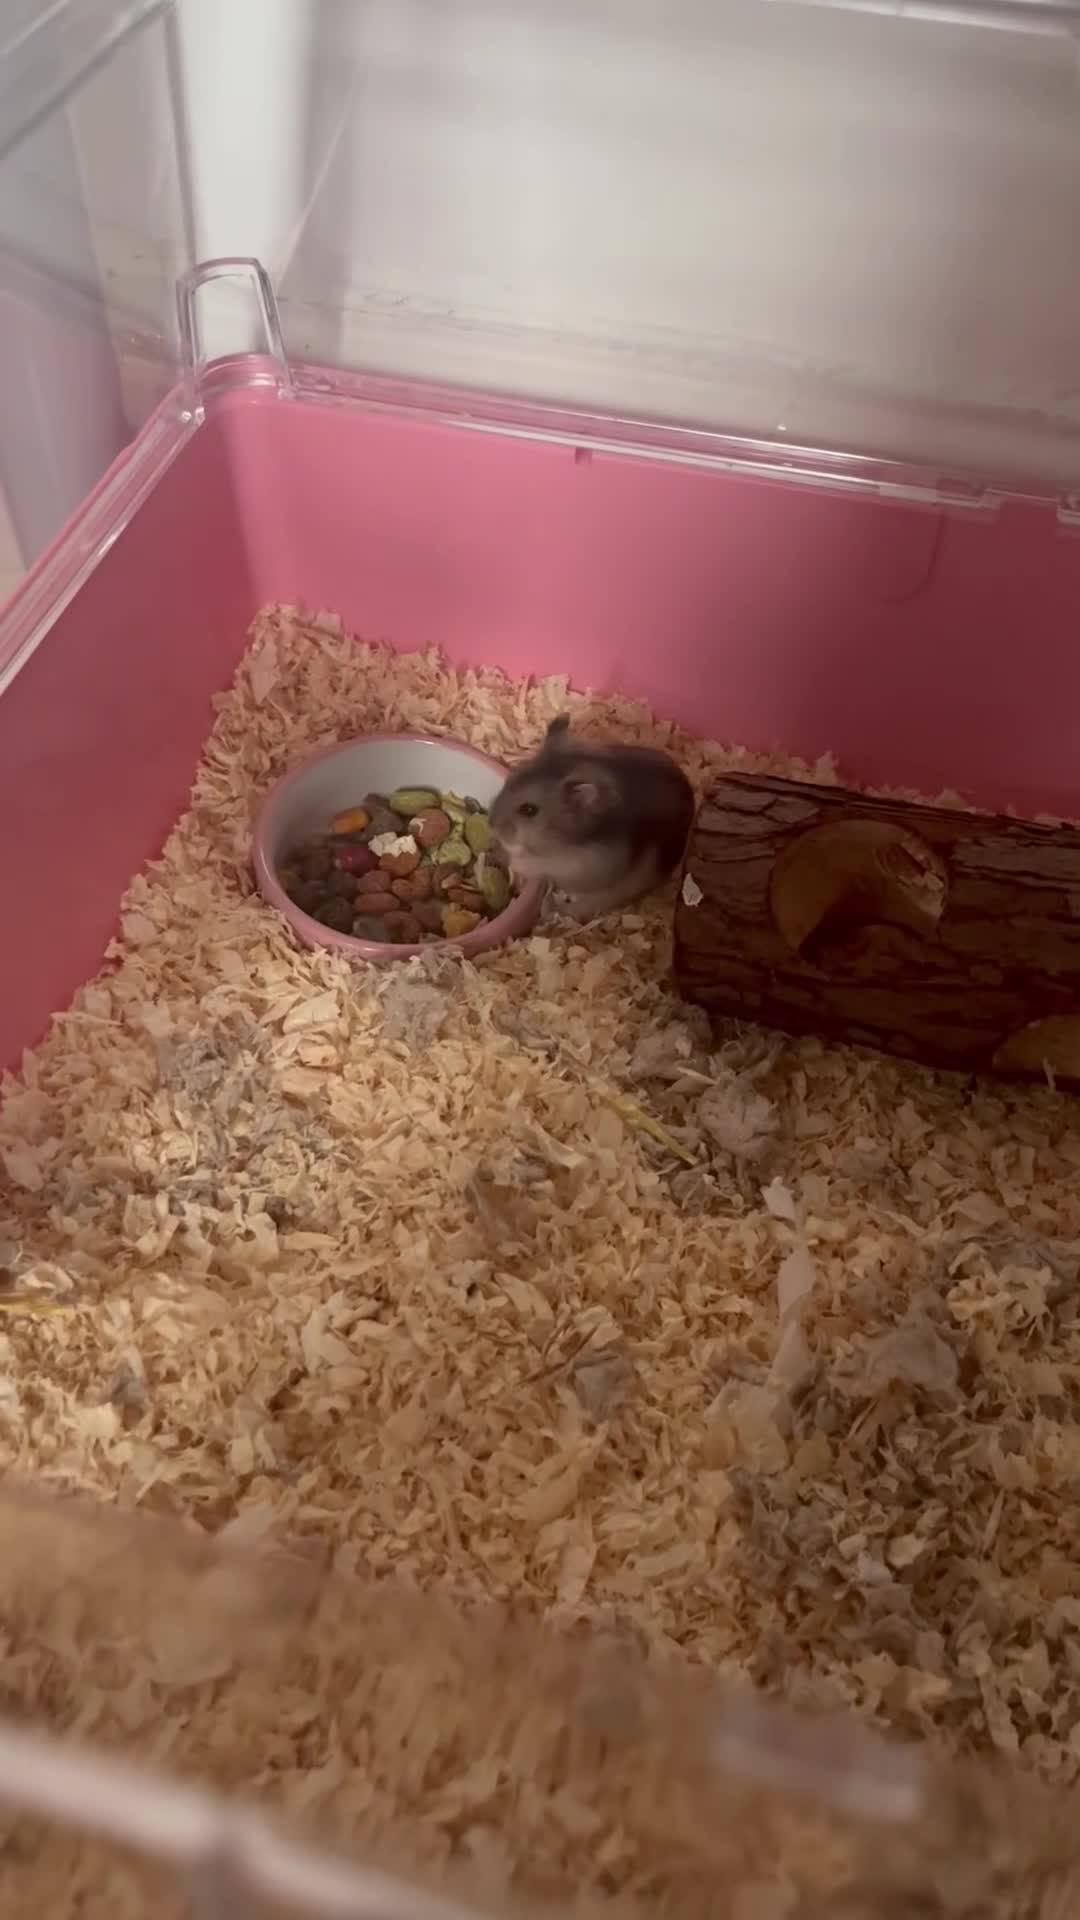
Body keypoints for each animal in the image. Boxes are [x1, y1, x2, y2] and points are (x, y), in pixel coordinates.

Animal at [489, 714, 696, 918]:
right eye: (510, 779)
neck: (564, 842)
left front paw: (514, 860)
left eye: (529, 810)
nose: (491, 824)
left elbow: (534, 864)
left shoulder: (576, 868)